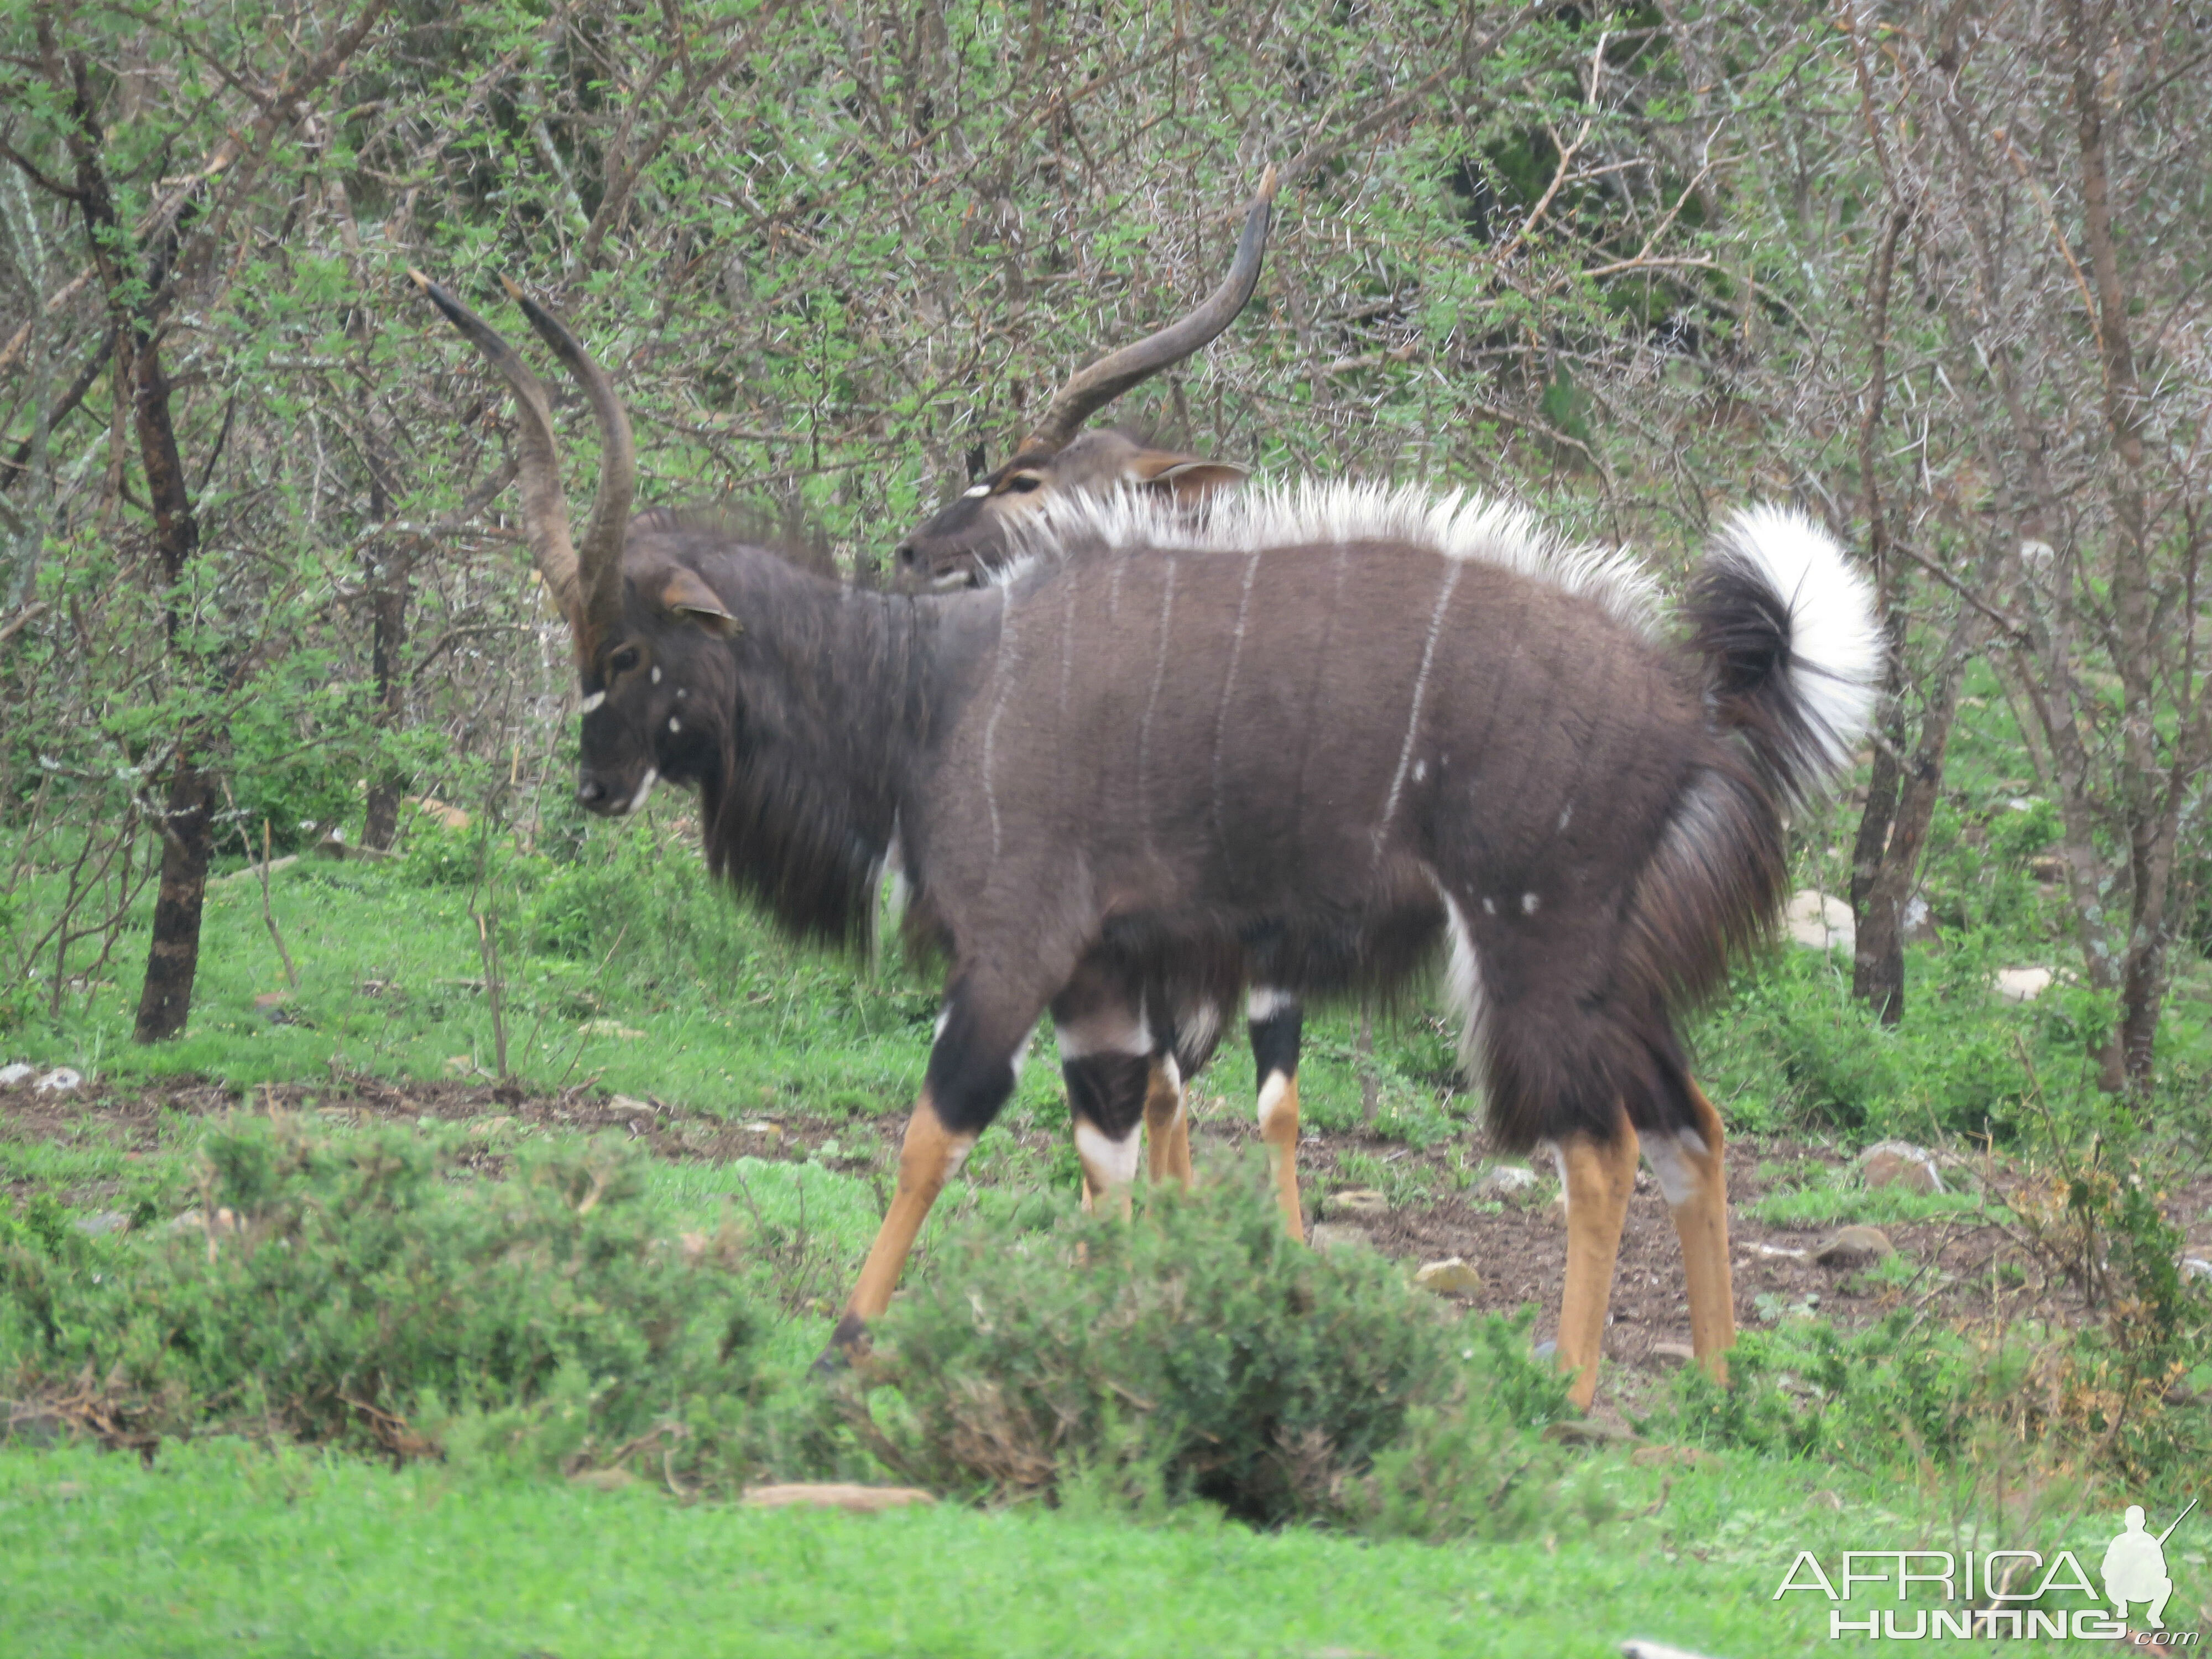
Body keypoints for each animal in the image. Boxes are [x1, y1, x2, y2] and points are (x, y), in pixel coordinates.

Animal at [416, 267, 1867, 1407]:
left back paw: (1563, 1394)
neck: (935, 691)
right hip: (1611, 980)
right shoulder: (1105, 989)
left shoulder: (1016, 954)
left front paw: (841, 1346)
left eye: (624, 647)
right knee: (1693, 1127)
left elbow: (936, 1130)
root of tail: (1694, 704)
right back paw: (1721, 1393)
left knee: (1600, 1147)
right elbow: (1107, 1159)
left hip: (1529, 959)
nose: (595, 785)